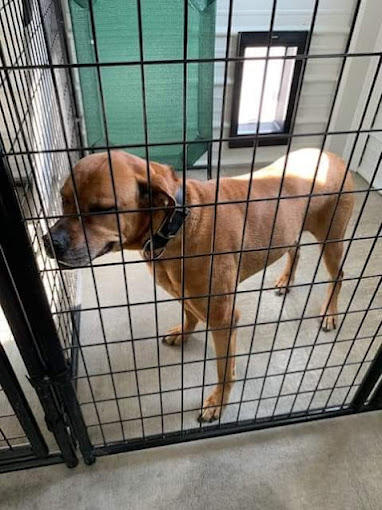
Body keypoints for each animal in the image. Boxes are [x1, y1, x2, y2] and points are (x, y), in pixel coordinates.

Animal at [45, 147, 356, 422]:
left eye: (103, 209)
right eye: (63, 199)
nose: (50, 242)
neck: (174, 225)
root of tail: (332, 156)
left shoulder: (224, 319)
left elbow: (224, 370)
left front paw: (218, 403)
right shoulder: (185, 294)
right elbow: (190, 314)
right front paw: (184, 332)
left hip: (331, 239)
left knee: (338, 276)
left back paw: (329, 313)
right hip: (290, 231)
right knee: (296, 250)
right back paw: (285, 279)